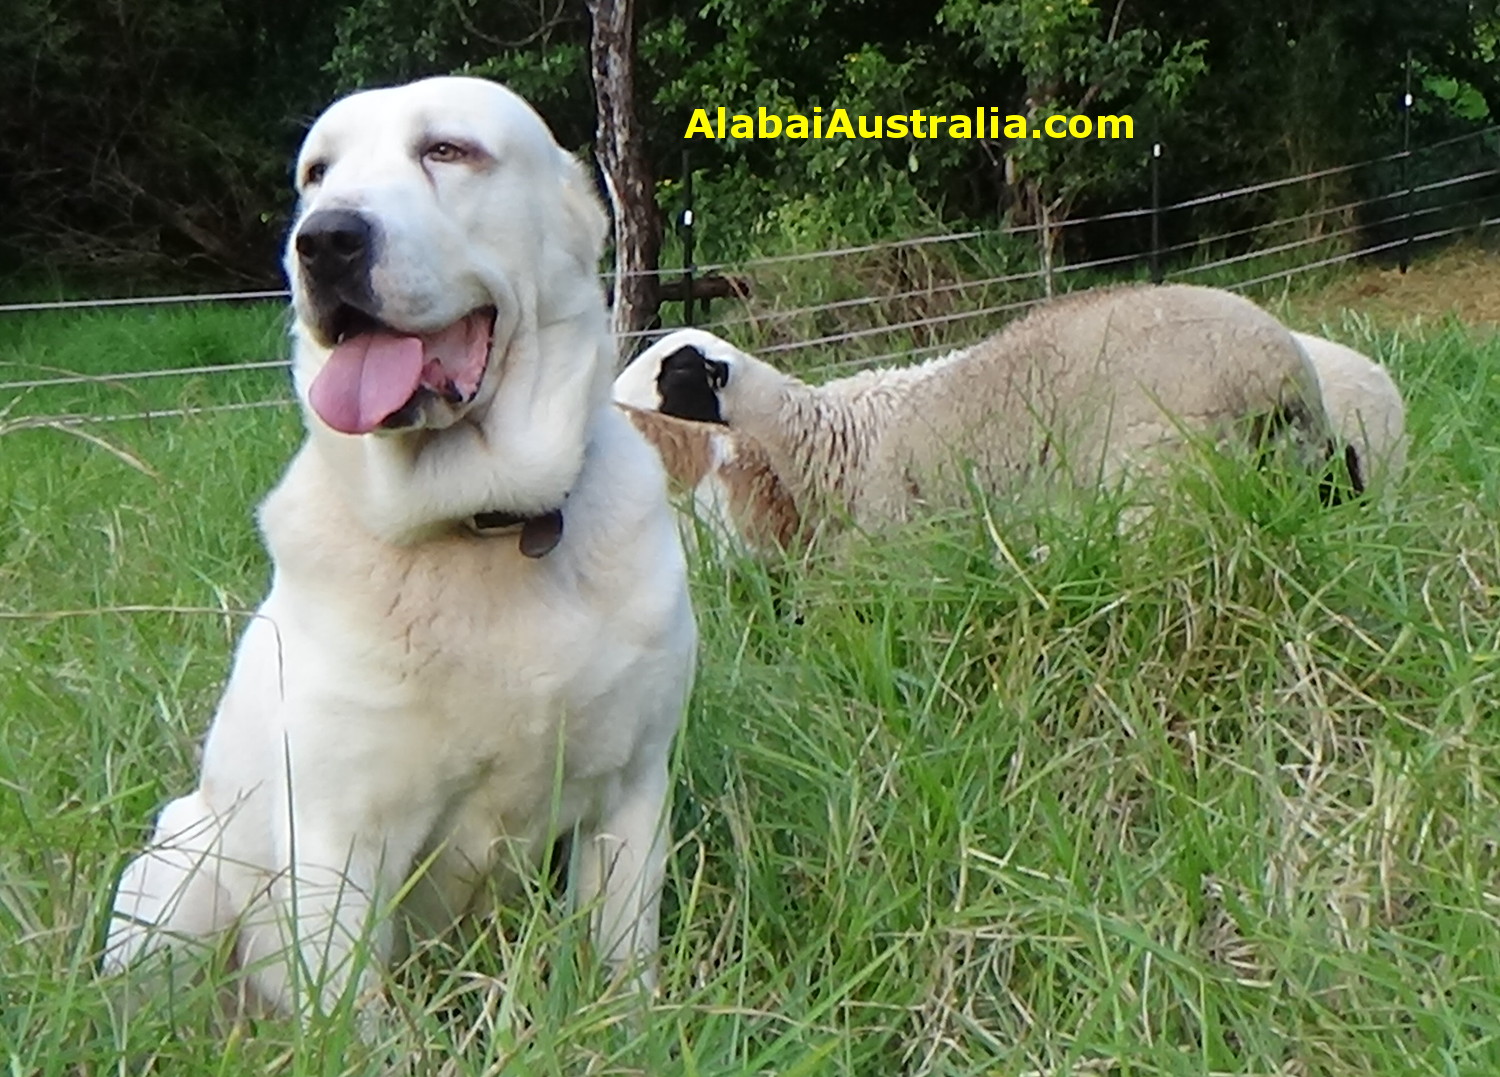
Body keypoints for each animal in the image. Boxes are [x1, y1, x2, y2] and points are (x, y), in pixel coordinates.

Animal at [102, 75, 699, 1020]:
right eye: (316, 173)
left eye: (448, 151)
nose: (325, 240)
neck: (485, 521)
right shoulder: (340, 842)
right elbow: (354, 1022)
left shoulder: (630, 795)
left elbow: (620, 970)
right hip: (178, 863)